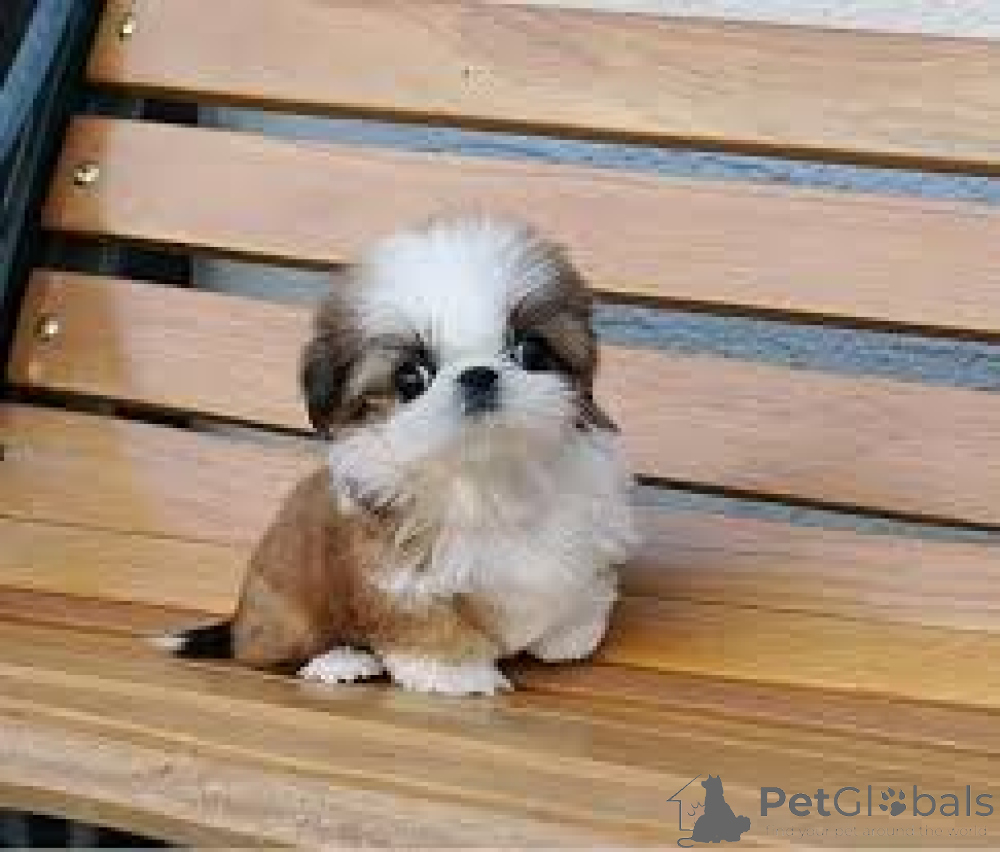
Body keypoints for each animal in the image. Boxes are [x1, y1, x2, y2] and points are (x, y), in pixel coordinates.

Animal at [157, 216, 636, 695]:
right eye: (411, 378)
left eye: (531, 351)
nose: (478, 375)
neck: (487, 477)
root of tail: (240, 623)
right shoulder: (398, 575)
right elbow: (426, 624)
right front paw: (457, 673)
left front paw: (570, 635)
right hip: (285, 615)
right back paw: (341, 660)